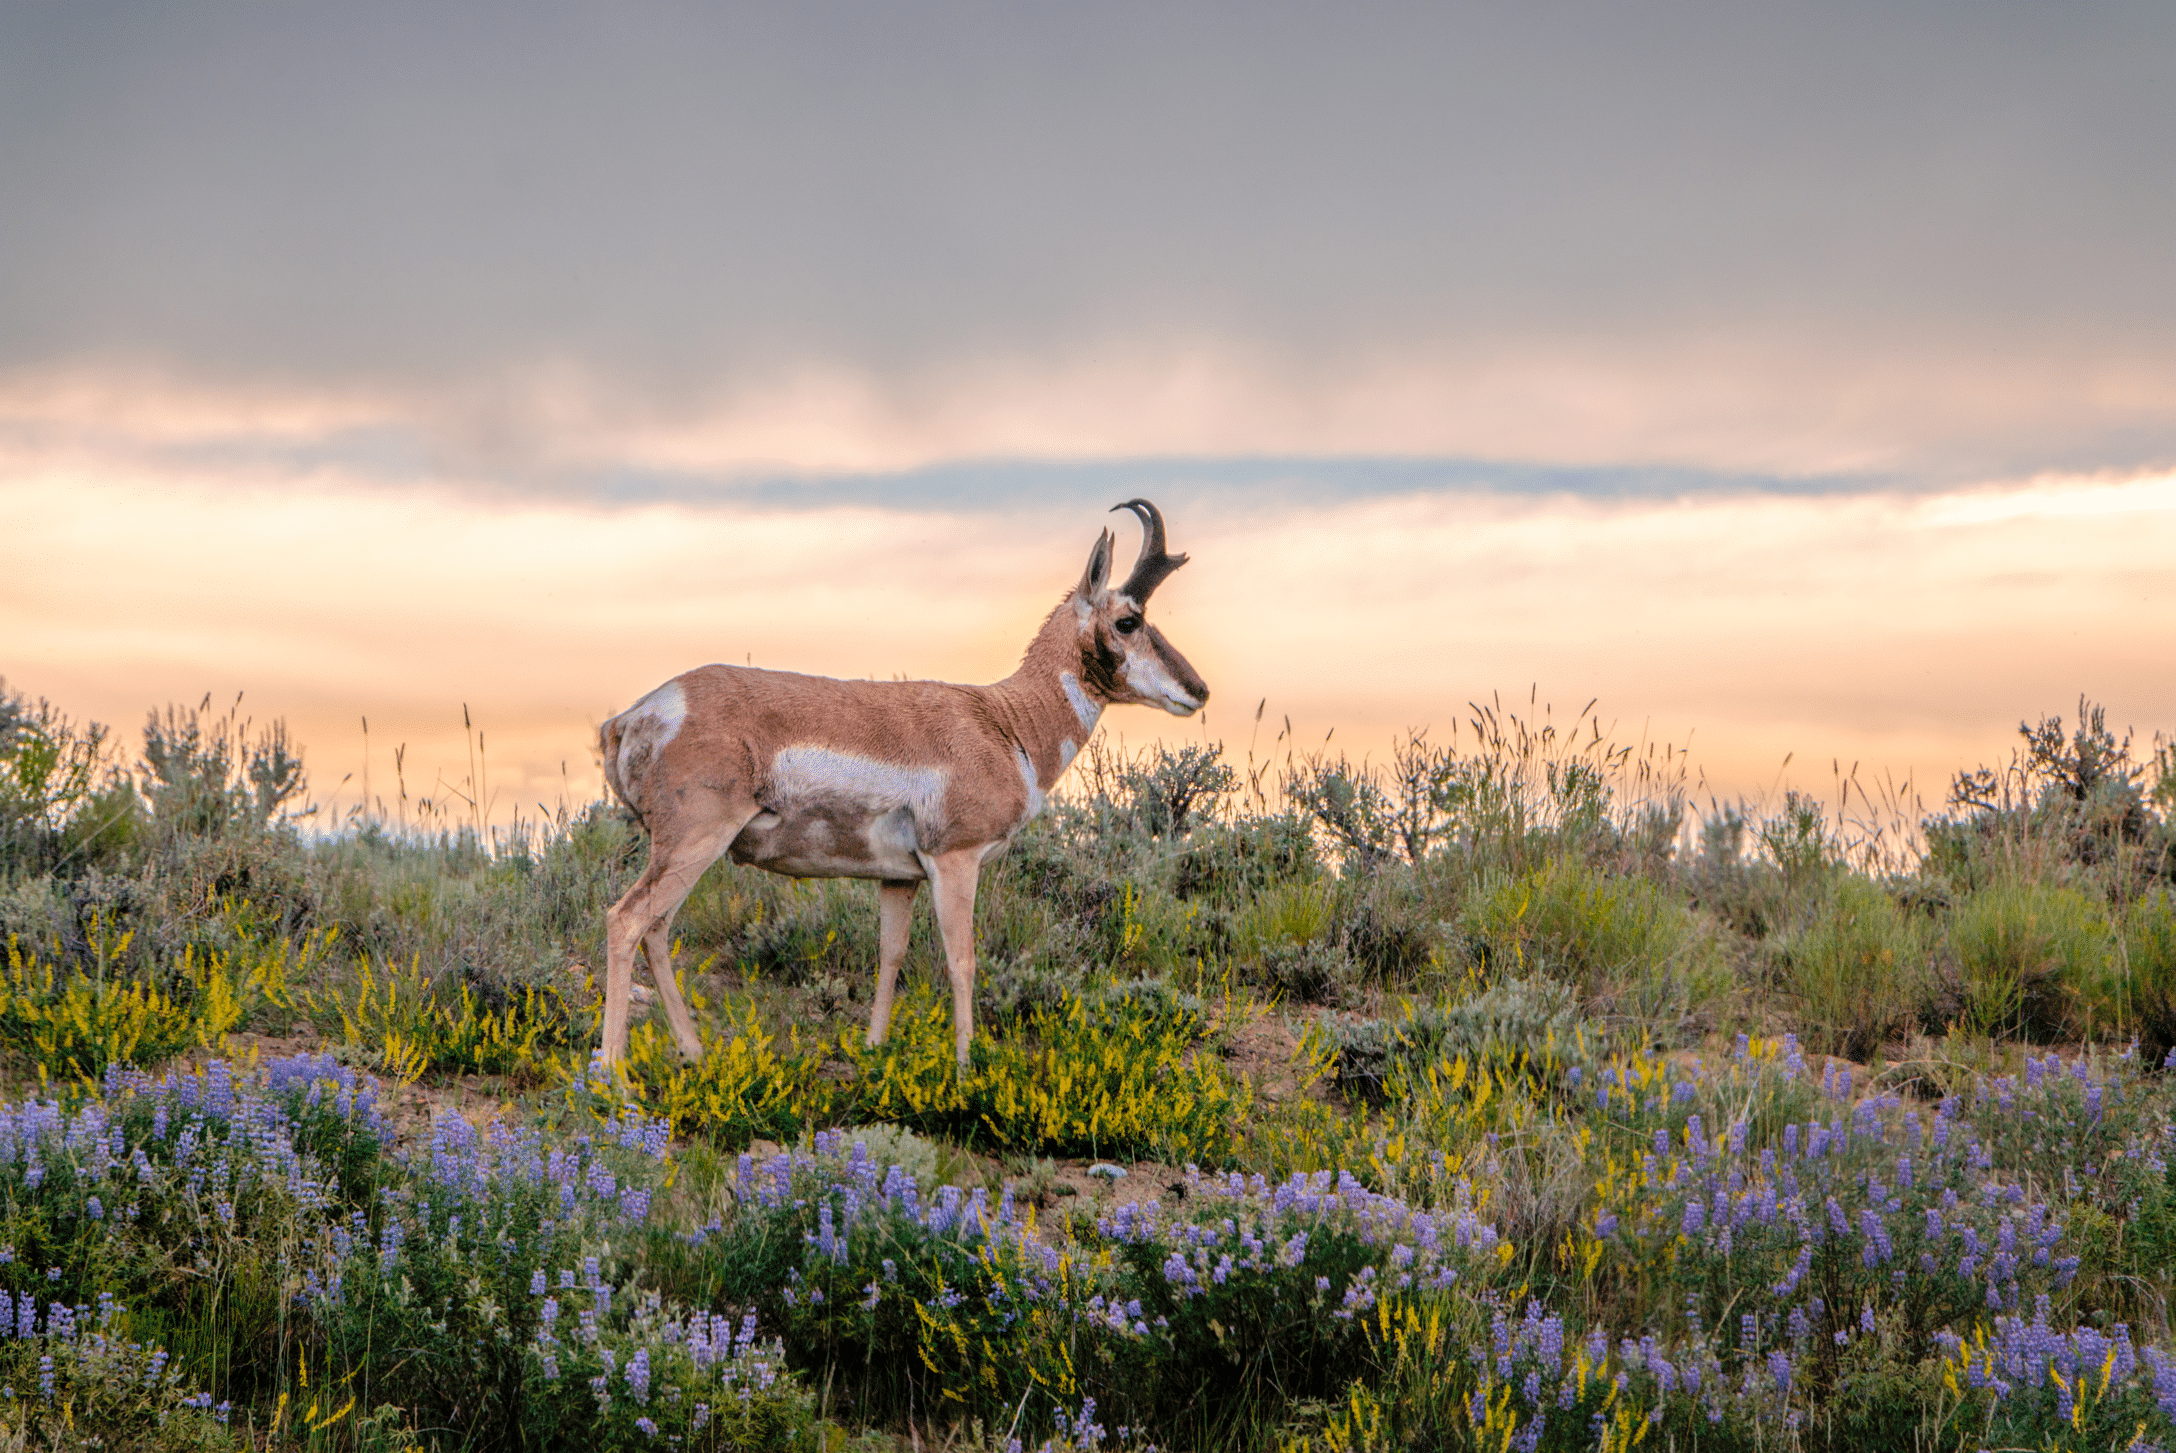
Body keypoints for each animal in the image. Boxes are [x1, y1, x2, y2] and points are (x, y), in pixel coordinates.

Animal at [595, 499, 1209, 1067]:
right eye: (1128, 620)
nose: (1198, 690)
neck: (1005, 721)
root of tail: (635, 714)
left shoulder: (898, 878)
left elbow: (891, 953)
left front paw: (873, 1048)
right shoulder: (955, 861)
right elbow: (961, 959)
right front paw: (966, 1066)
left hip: (687, 852)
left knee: (656, 928)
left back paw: (694, 1052)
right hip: (695, 842)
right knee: (627, 920)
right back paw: (614, 1073)